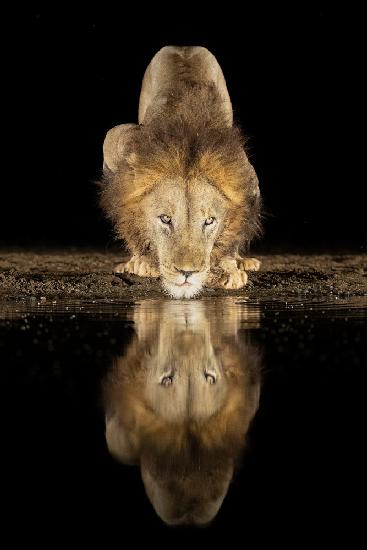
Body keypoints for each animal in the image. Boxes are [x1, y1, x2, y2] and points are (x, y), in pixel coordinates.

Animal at [100, 46, 262, 298]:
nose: (188, 273)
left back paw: (243, 261)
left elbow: (237, 226)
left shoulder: (247, 175)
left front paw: (228, 267)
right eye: (165, 219)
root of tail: (183, 46)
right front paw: (142, 260)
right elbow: (126, 215)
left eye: (209, 221)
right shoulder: (115, 141)